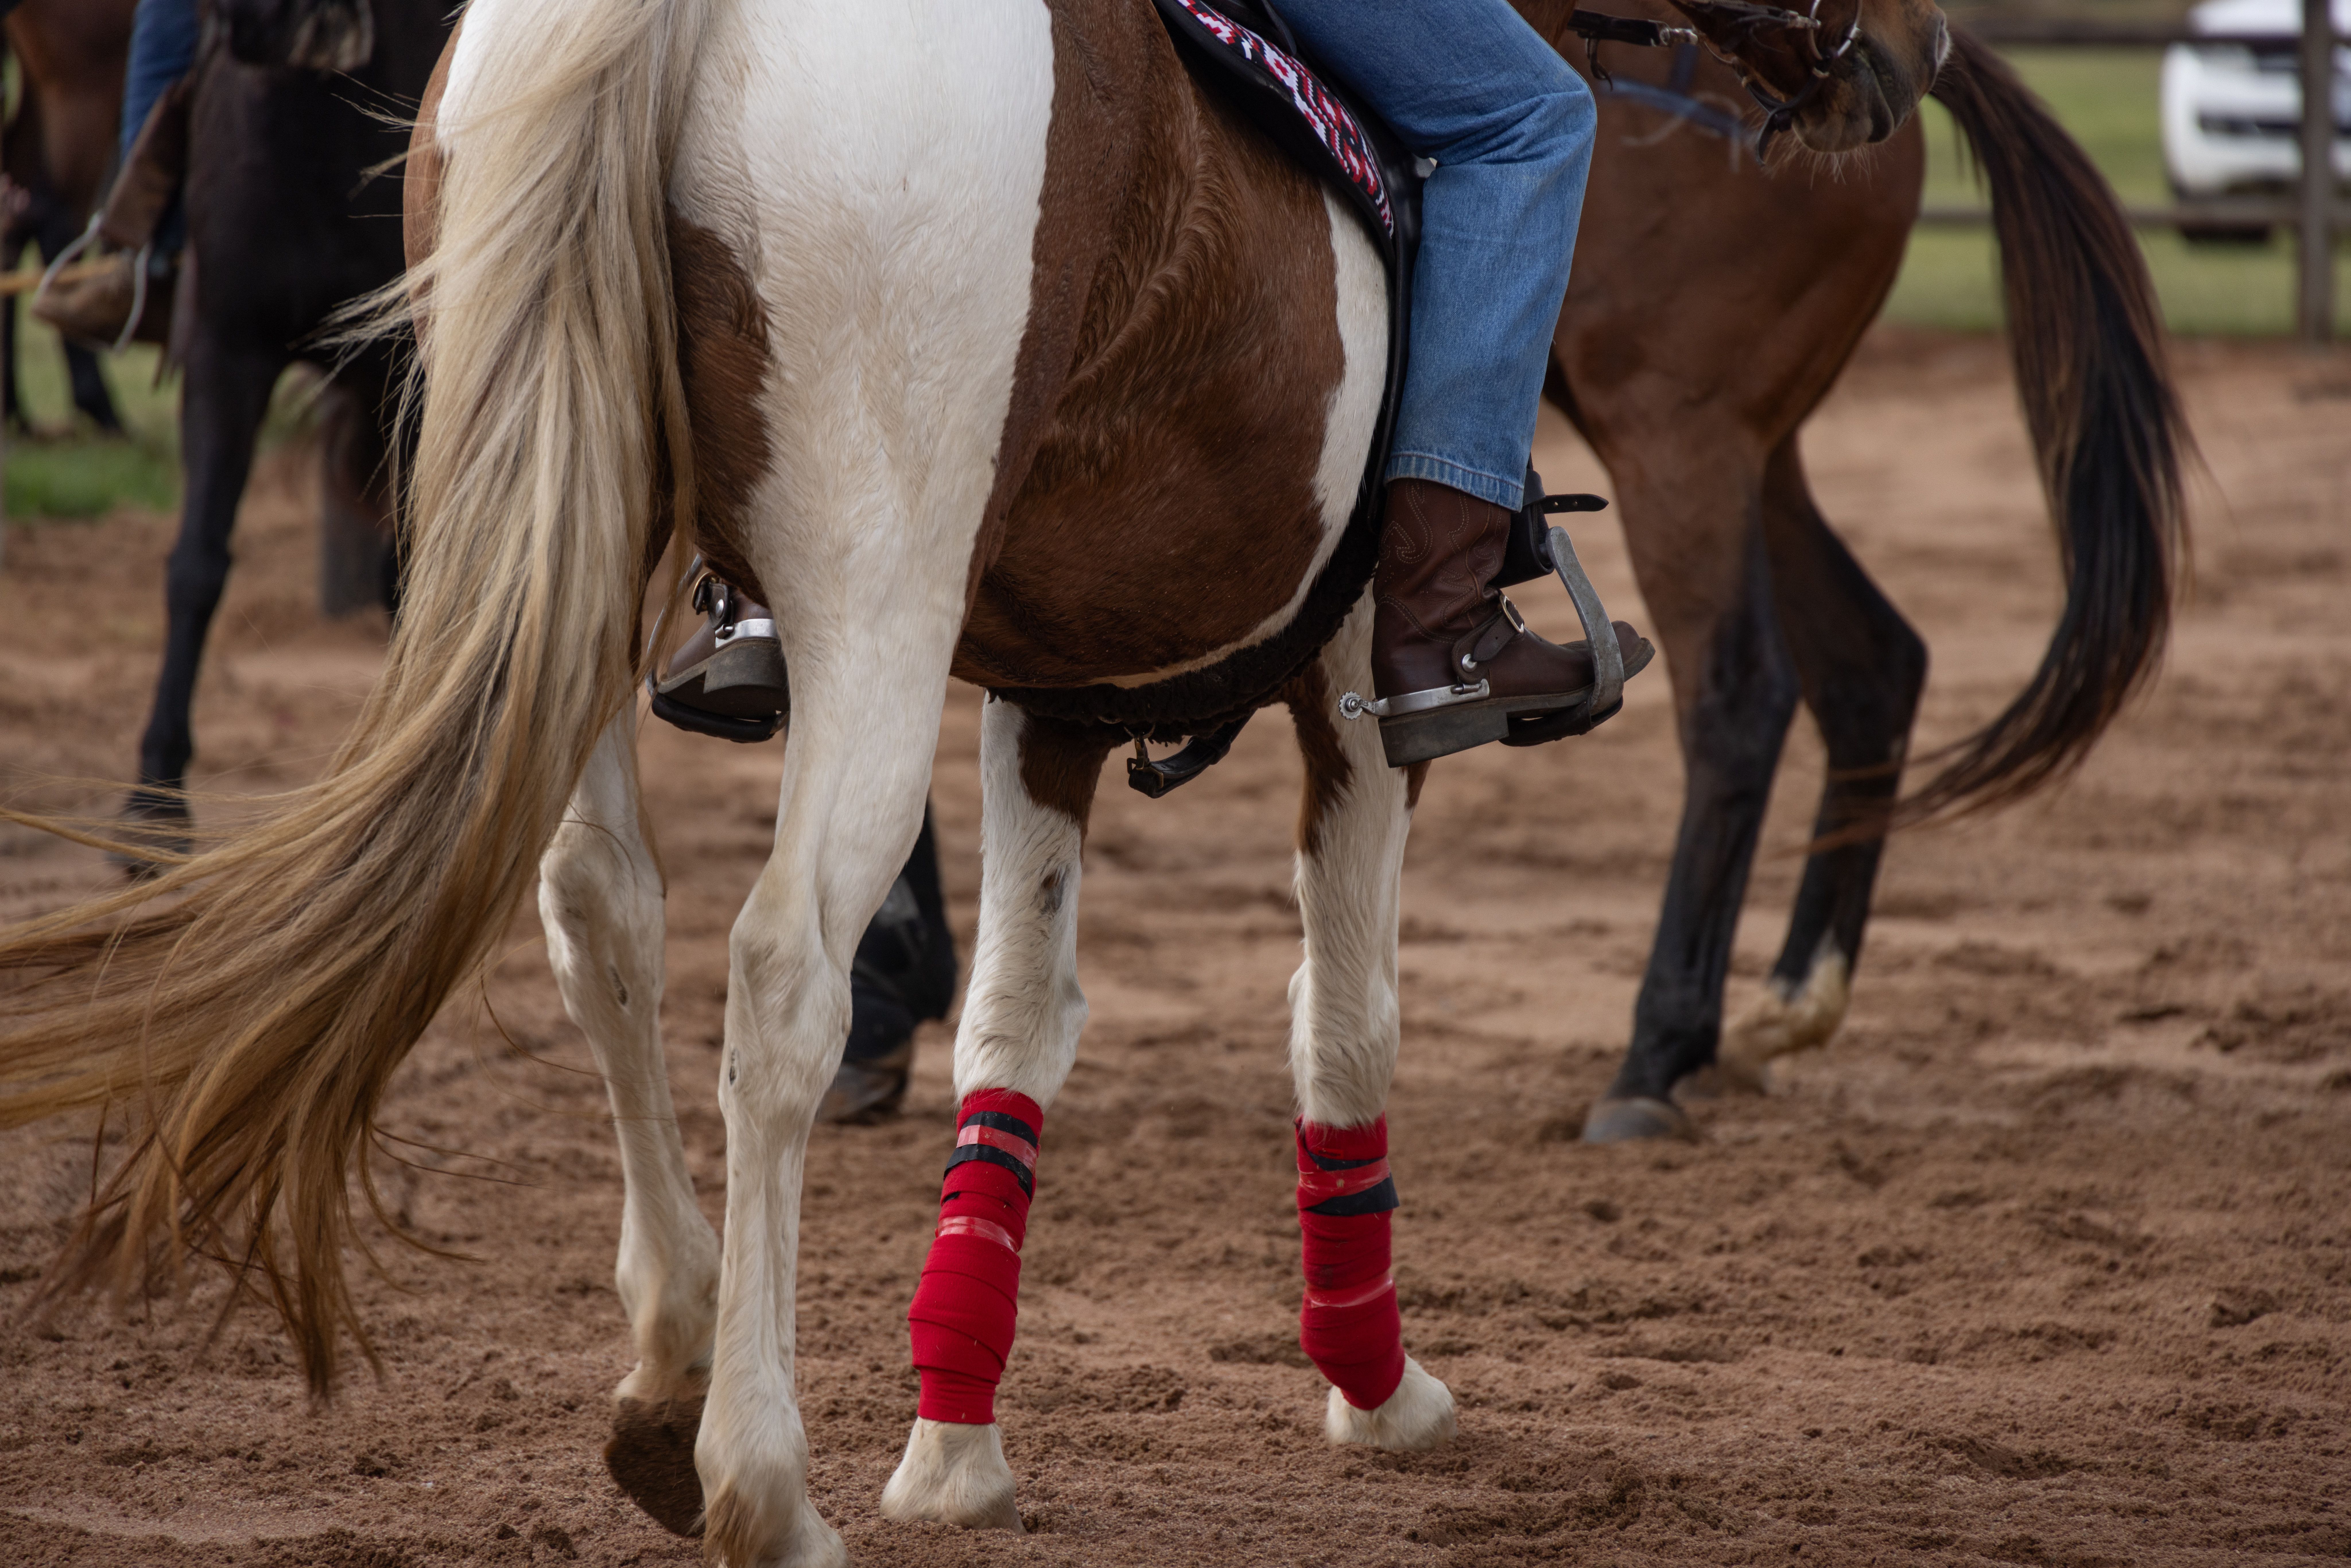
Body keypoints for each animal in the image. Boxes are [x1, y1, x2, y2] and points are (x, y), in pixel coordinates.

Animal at [0, 0, 2178, 1563]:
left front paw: (957, 1432)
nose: (1883, 51)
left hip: (586, 540)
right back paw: (764, 1480)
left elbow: (1014, 1025)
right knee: (773, 971)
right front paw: (1373, 1384)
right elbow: (1344, 1026)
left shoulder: (1046, 693)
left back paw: (668, 1377)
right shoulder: (1353, 690)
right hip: (928, 583)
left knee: (599, 922)